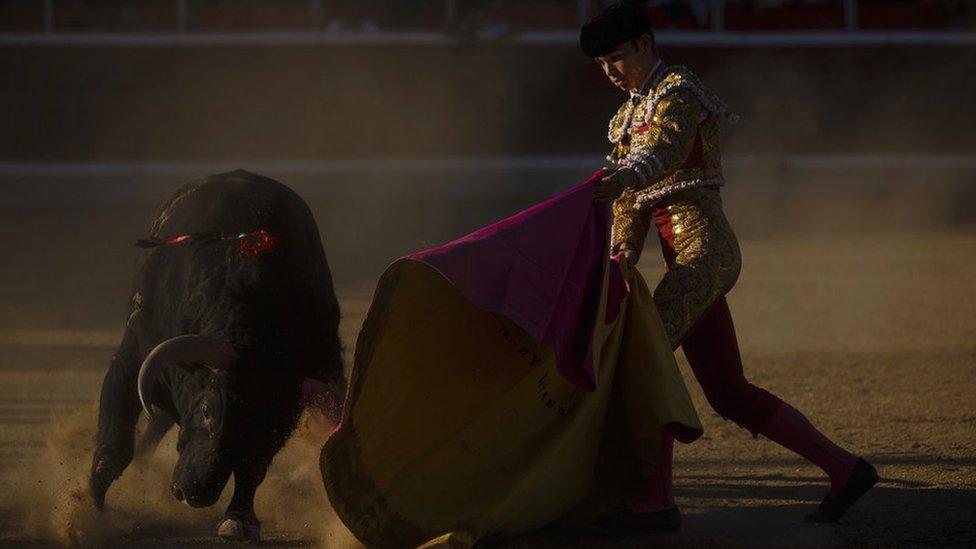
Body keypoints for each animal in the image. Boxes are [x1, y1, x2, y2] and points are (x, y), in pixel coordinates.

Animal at [88, 170, 346, 540]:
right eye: (208, 411)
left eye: (261, 425)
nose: (194, 492)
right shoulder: (130, 361)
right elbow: (115, 444)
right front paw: (90, 510)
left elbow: (254, 467)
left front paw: (238, 519)